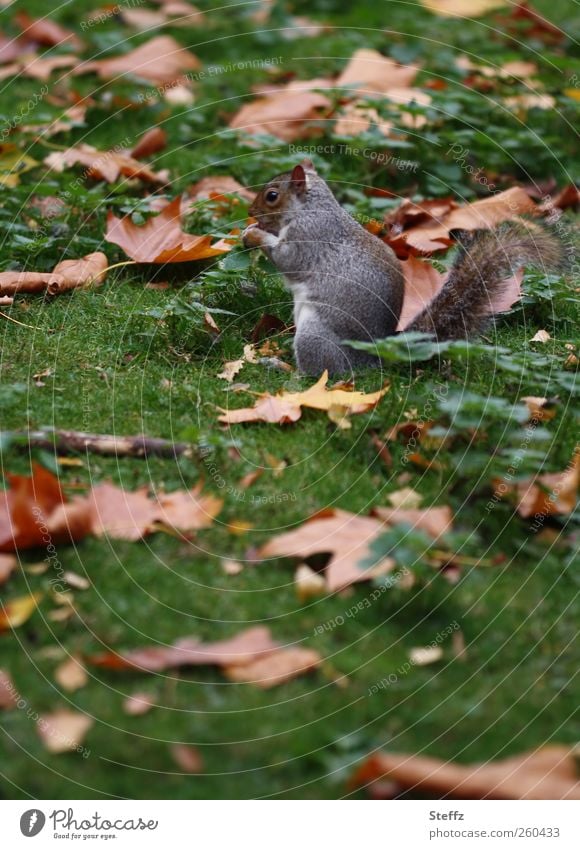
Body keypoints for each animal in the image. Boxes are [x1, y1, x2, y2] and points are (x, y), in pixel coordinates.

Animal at [240, 159, 560, 372]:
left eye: (272, 196)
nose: (250, 212)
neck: (309, 208)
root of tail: (373, 357)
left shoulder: (308, 237)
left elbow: (288, 258)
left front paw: (253, 234)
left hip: (315, 336)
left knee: (325, 374)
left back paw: (285, 370)